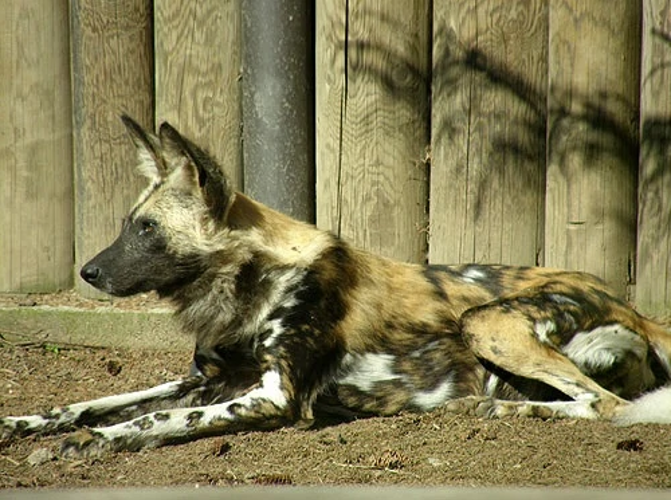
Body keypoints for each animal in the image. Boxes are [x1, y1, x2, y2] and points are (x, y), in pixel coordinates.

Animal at [1, 118, 671, 458]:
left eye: (148, 229)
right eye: (127, 223)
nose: (88, 272)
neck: (247, 288)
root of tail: (633, 306)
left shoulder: (272, 397)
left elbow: (153, 419)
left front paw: (98, 440)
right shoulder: (205, 380)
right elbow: (90, 402)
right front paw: (23, 424)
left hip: (486, 321)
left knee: (606, 406)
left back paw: (494, 408)